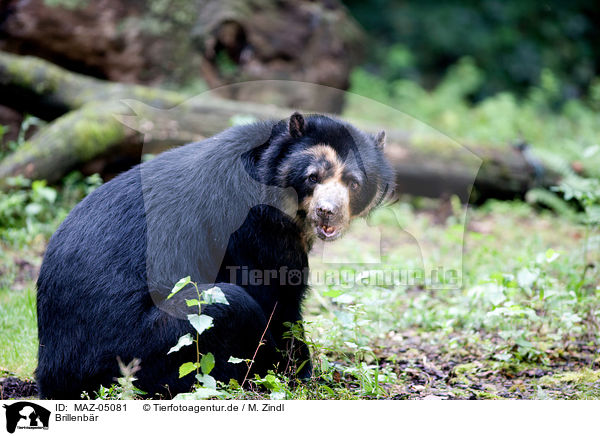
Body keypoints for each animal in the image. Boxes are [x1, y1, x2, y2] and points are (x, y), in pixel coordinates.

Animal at [35, 112, 396, 398]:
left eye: (353, 183)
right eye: (312, 177)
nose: (327, 212)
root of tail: (50, 370)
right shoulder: (252, 224)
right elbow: (276, 297)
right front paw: (299, 373)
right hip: (142, 345)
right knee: (230, 306)